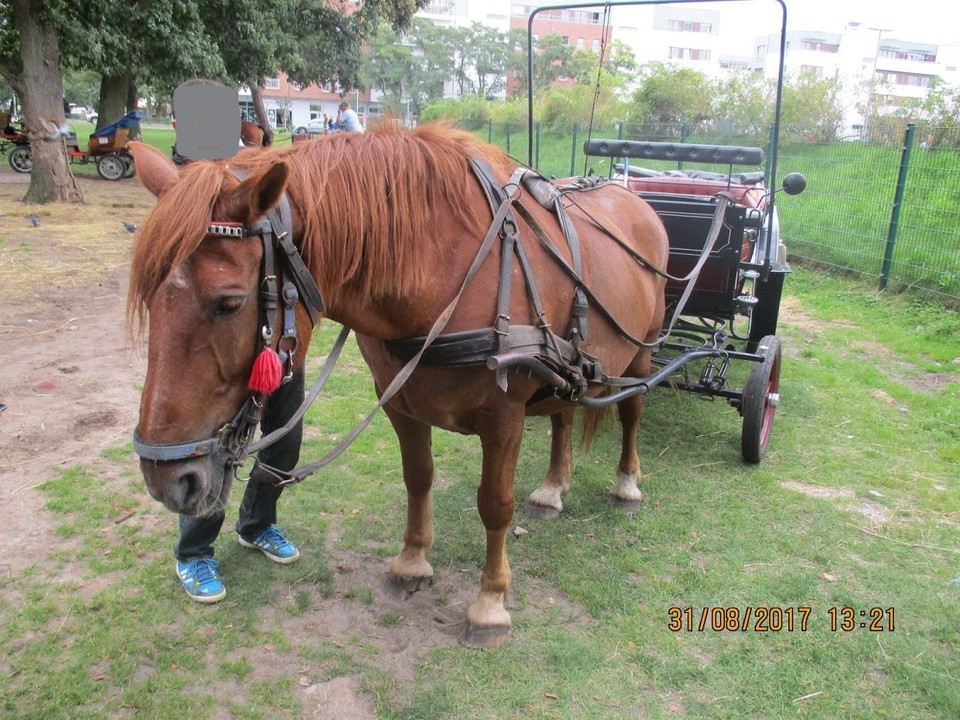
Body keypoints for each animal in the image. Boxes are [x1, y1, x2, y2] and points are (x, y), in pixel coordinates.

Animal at [125, 124, 668, 648]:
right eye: (148, 297)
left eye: (229, 303)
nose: (164, 478)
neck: (446, 268)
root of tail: (633, 197)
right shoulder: (401, 405)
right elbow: (418, 478)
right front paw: (412, 563)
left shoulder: (504, 414)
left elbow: (494, 505)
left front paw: (490, 603)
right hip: (567, 368)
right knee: (563, 414)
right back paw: (554, 488)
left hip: (642, 353)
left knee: (632, 412)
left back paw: (626, 483)